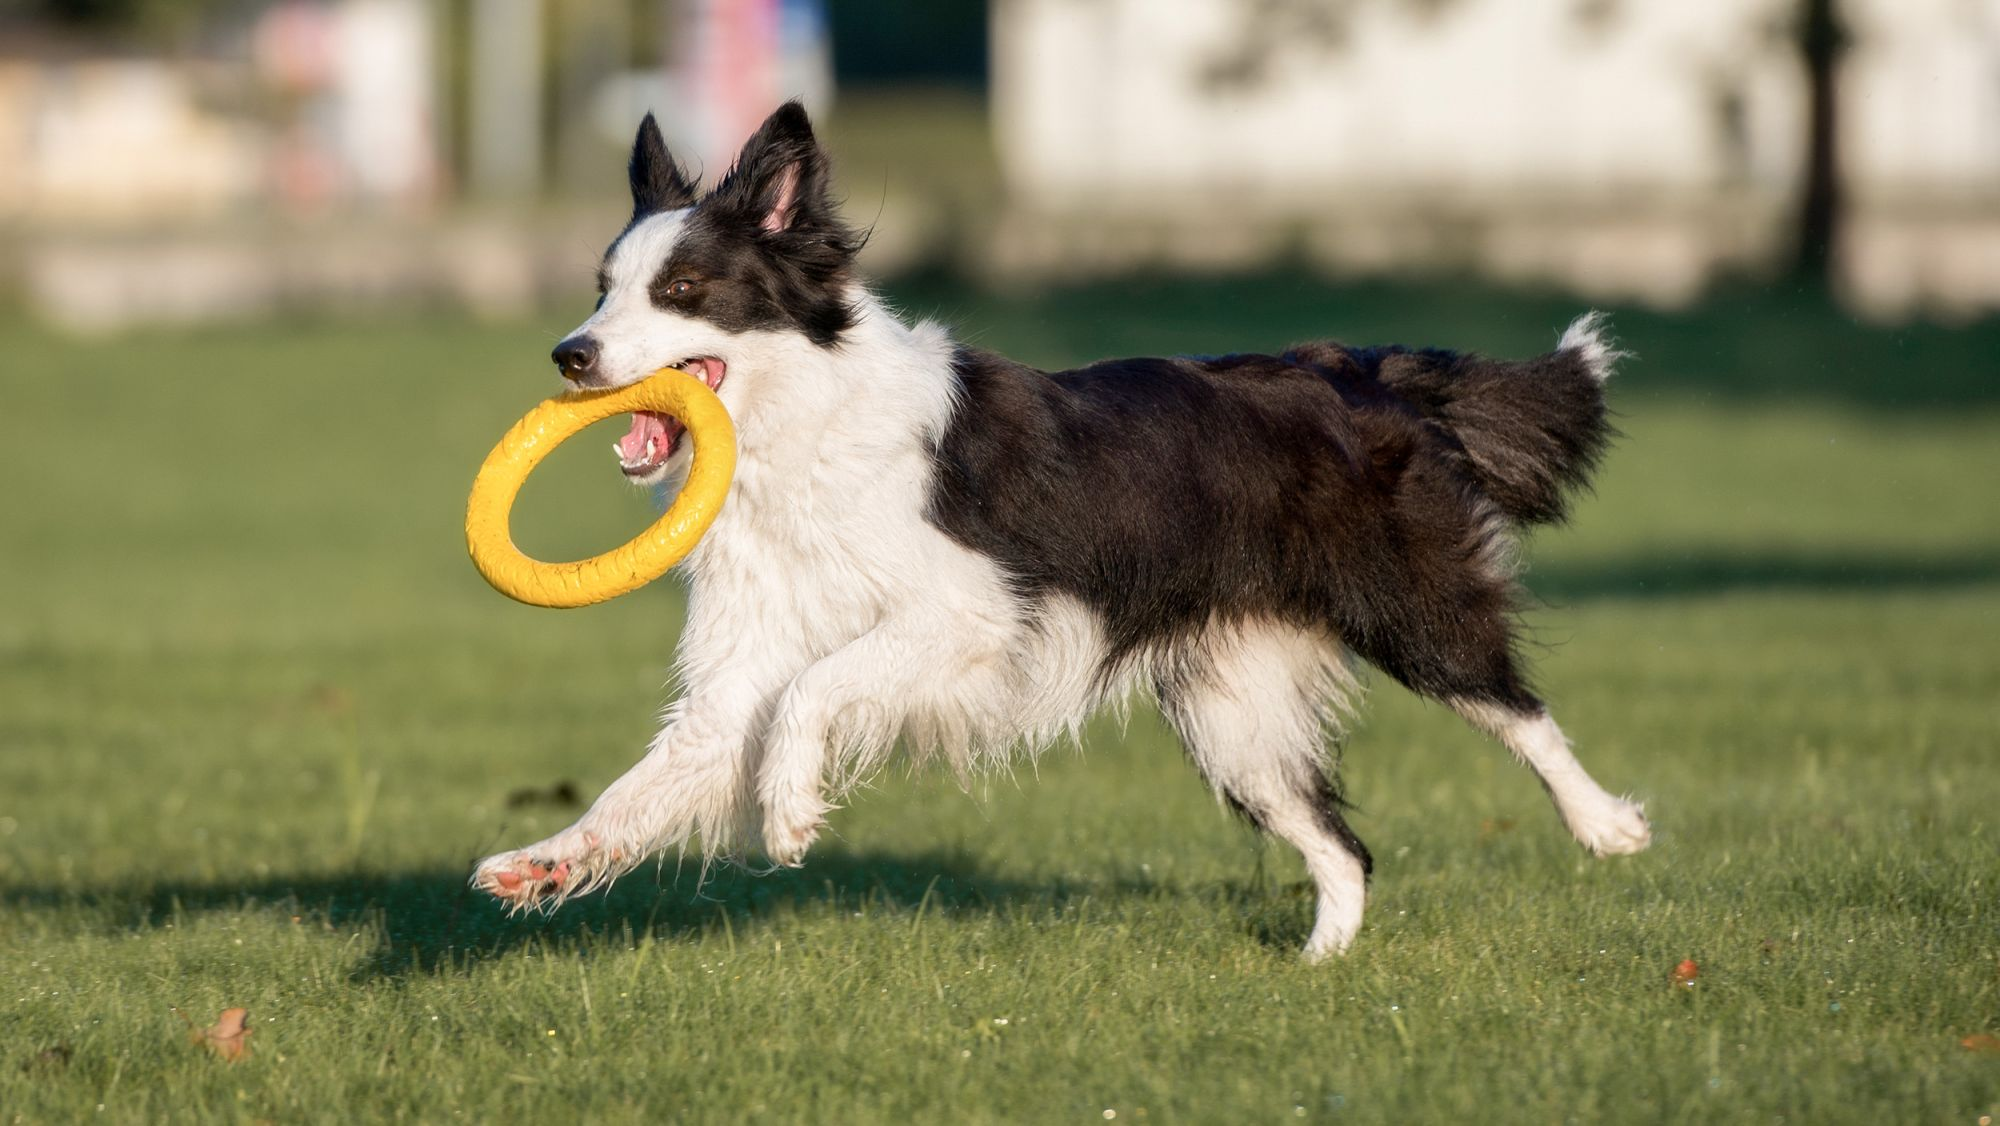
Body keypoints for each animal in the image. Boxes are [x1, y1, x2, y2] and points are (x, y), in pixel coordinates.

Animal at [476, 101, 1648, 960]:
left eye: (682, 289)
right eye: (602, 289)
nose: (570, 356)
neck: (798, 438)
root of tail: (1355, 367)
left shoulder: (971, 613)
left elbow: (816, 689)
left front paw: (789, 810)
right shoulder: (737, 673)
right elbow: (651, 781)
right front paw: (540, 861)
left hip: (1408, 606)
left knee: (1515, 709)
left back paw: (1608, 826)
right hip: (1231, 709)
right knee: (1341, 844)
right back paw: (1318, 966)